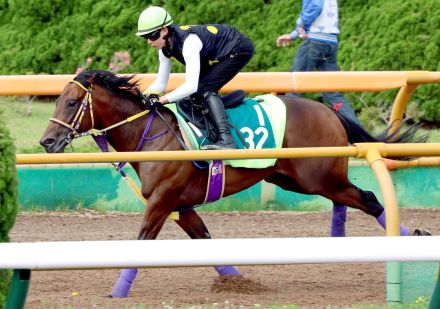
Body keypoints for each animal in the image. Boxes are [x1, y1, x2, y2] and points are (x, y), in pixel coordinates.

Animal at [40, 69, 426, 296]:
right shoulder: (181, 205)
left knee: (369, 198)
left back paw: (411, 238)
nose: (47, 142)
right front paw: (238, 280)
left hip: (320, 178)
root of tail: (329, 111)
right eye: (57, 99)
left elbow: (142, 241)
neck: (150, 136)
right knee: (352, 200)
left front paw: (118, 290)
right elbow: (205, 239)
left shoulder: (162, 201)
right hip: (293, 180)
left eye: (71, 102)